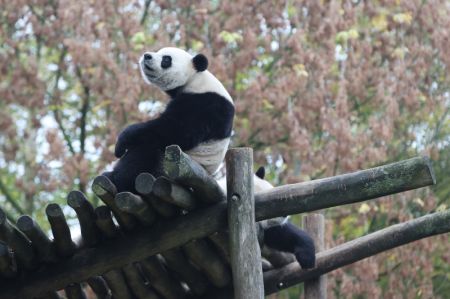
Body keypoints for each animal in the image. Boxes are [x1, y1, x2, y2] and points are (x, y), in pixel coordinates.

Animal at [106, 47, 312, 270]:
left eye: (166, 59)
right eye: (160, 52)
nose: (147, 56)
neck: (196, 78)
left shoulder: (206, 103)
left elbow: (176, 129)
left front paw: (122, 139)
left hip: (163, 168)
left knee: (146, 150)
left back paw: (116, 179)